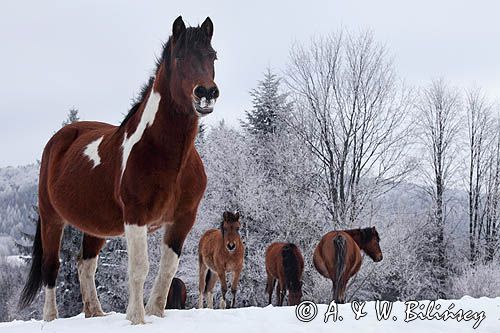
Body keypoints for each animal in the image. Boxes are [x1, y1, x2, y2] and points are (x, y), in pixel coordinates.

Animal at [18, 16, 218, 324]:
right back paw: (51, 318)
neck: (167, 156)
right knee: (52, 267)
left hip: (94, 226)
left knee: (84, 265)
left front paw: (155, 313)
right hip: (51, 218)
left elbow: (167, 269)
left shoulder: (183, 219)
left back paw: (95, 313)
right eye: (180, 57)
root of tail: (59, 138)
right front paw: (137, 318)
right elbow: (139, 268)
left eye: (212, 55)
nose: (206, 93)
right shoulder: (136, 217)